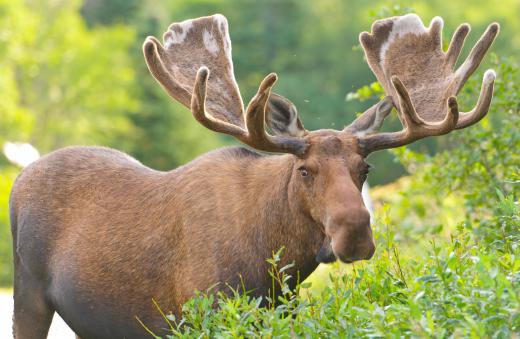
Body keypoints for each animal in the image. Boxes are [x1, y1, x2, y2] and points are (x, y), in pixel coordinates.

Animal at [10, 13, 498, 339]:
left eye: (365, 168)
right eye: (304, 169)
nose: (356, 233)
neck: (276, 261)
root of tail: (20, 178)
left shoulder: (283, 309)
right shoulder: (200, 311)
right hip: (27, 294)